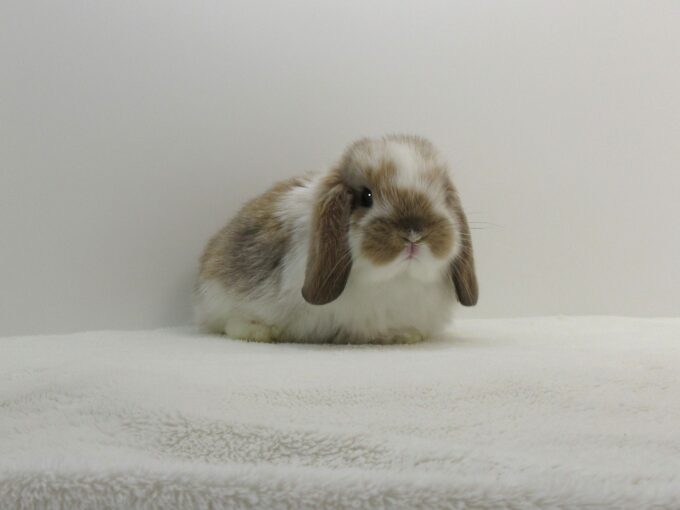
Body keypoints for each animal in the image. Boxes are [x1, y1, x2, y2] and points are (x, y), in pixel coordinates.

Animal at [194, 134, 478, 344]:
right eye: (366, 196)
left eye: (443, 196)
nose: (414, 234)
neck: (396, 280)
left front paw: (406, 335)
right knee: (231, 323)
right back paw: (262, 332)